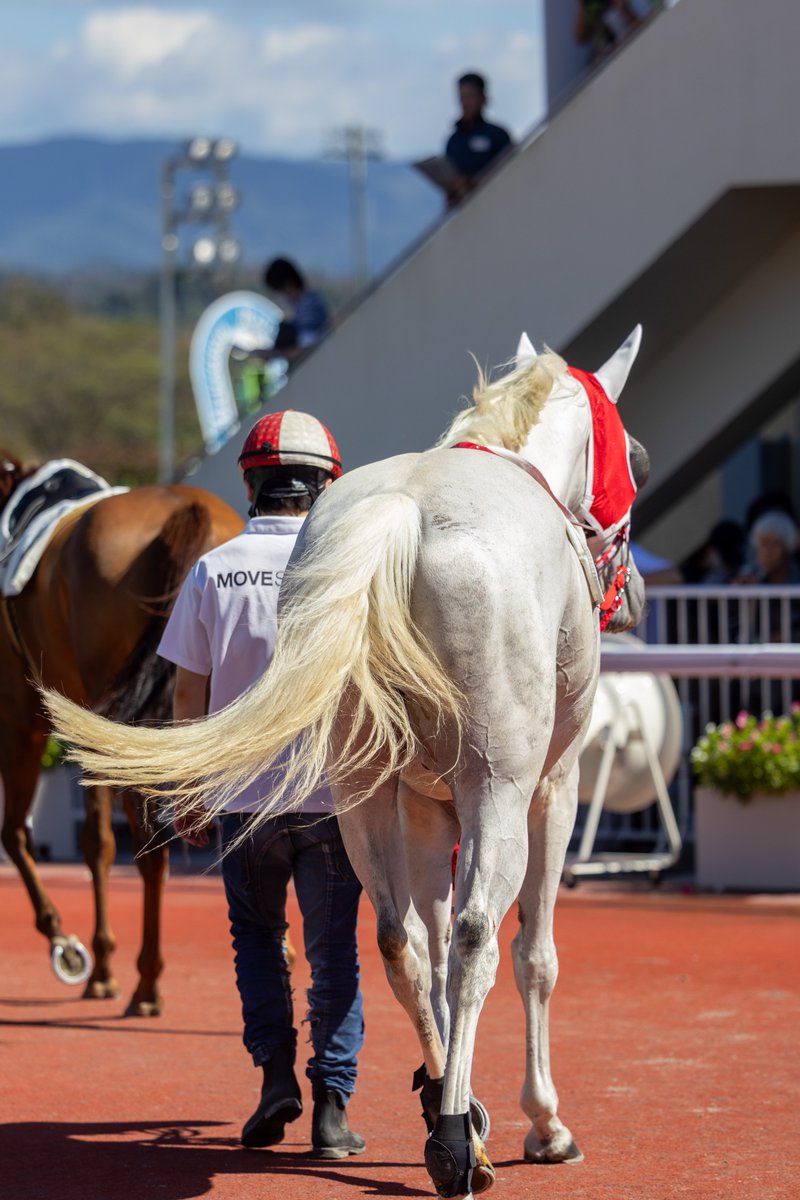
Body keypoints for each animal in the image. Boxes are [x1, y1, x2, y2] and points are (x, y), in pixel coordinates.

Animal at [0, 452, 243, 1014]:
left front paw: (76, 951)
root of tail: (189, 507)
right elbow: (96, 840)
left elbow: (36, 835)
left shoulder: (21, 716)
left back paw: (146, 983)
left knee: (149, 843)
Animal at [45, 328, 649, 1193]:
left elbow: (426, 942)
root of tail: (404, 515)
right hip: (495, 787)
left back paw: (442, 1111)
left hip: (362, 794)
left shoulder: (426, 803)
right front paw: (543, 1122)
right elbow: (532, 953)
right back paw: (457, 1143)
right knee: (474, 937)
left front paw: (455, 1092)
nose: (634, 596)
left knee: (399, 940)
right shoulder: (551, 787)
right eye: (635, 452)